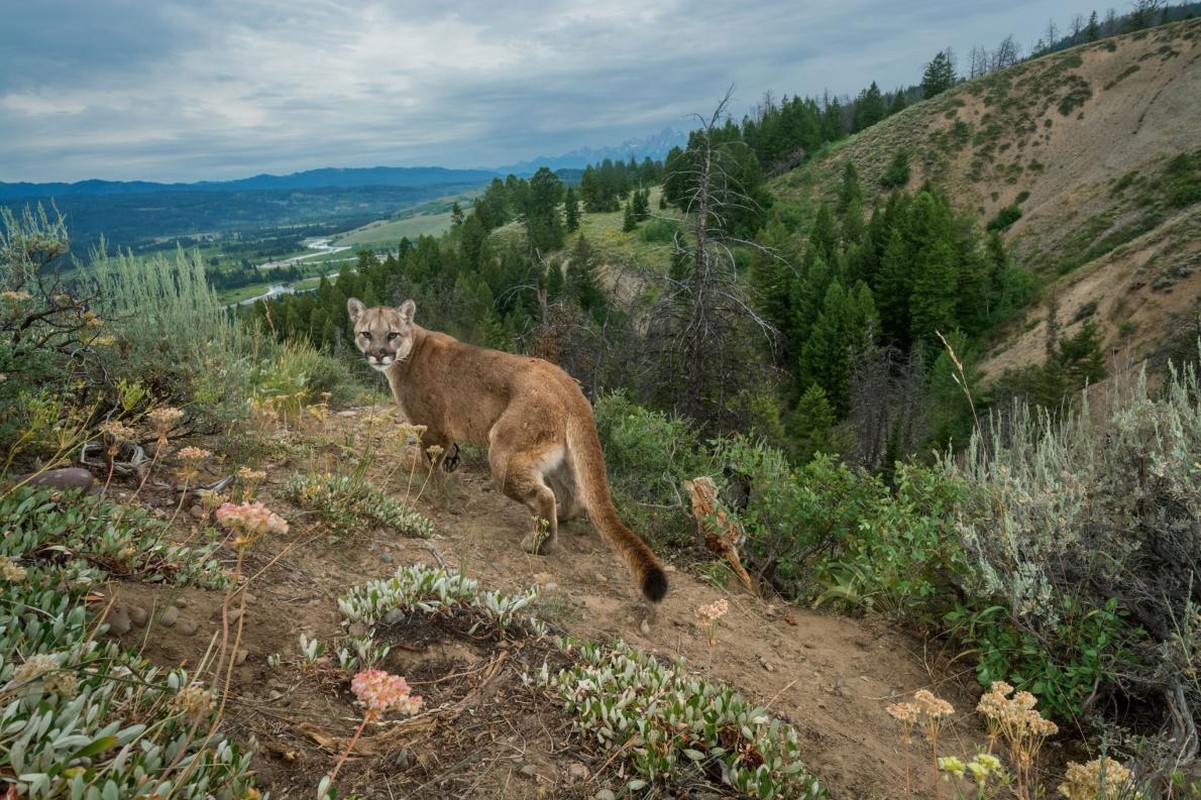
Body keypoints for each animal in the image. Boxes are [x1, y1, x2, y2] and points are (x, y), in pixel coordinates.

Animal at [348, 295, 672, 600]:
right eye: (366, 333)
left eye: (392, 334)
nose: (378, 354)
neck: (409, 354)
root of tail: (570, 387)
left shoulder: (432, 427)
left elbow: (431, 465)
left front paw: (426, 488)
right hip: (560, 457)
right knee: (573, 494)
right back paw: (559, 519)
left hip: (505, 451)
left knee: (544, 494)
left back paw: (540, 544)